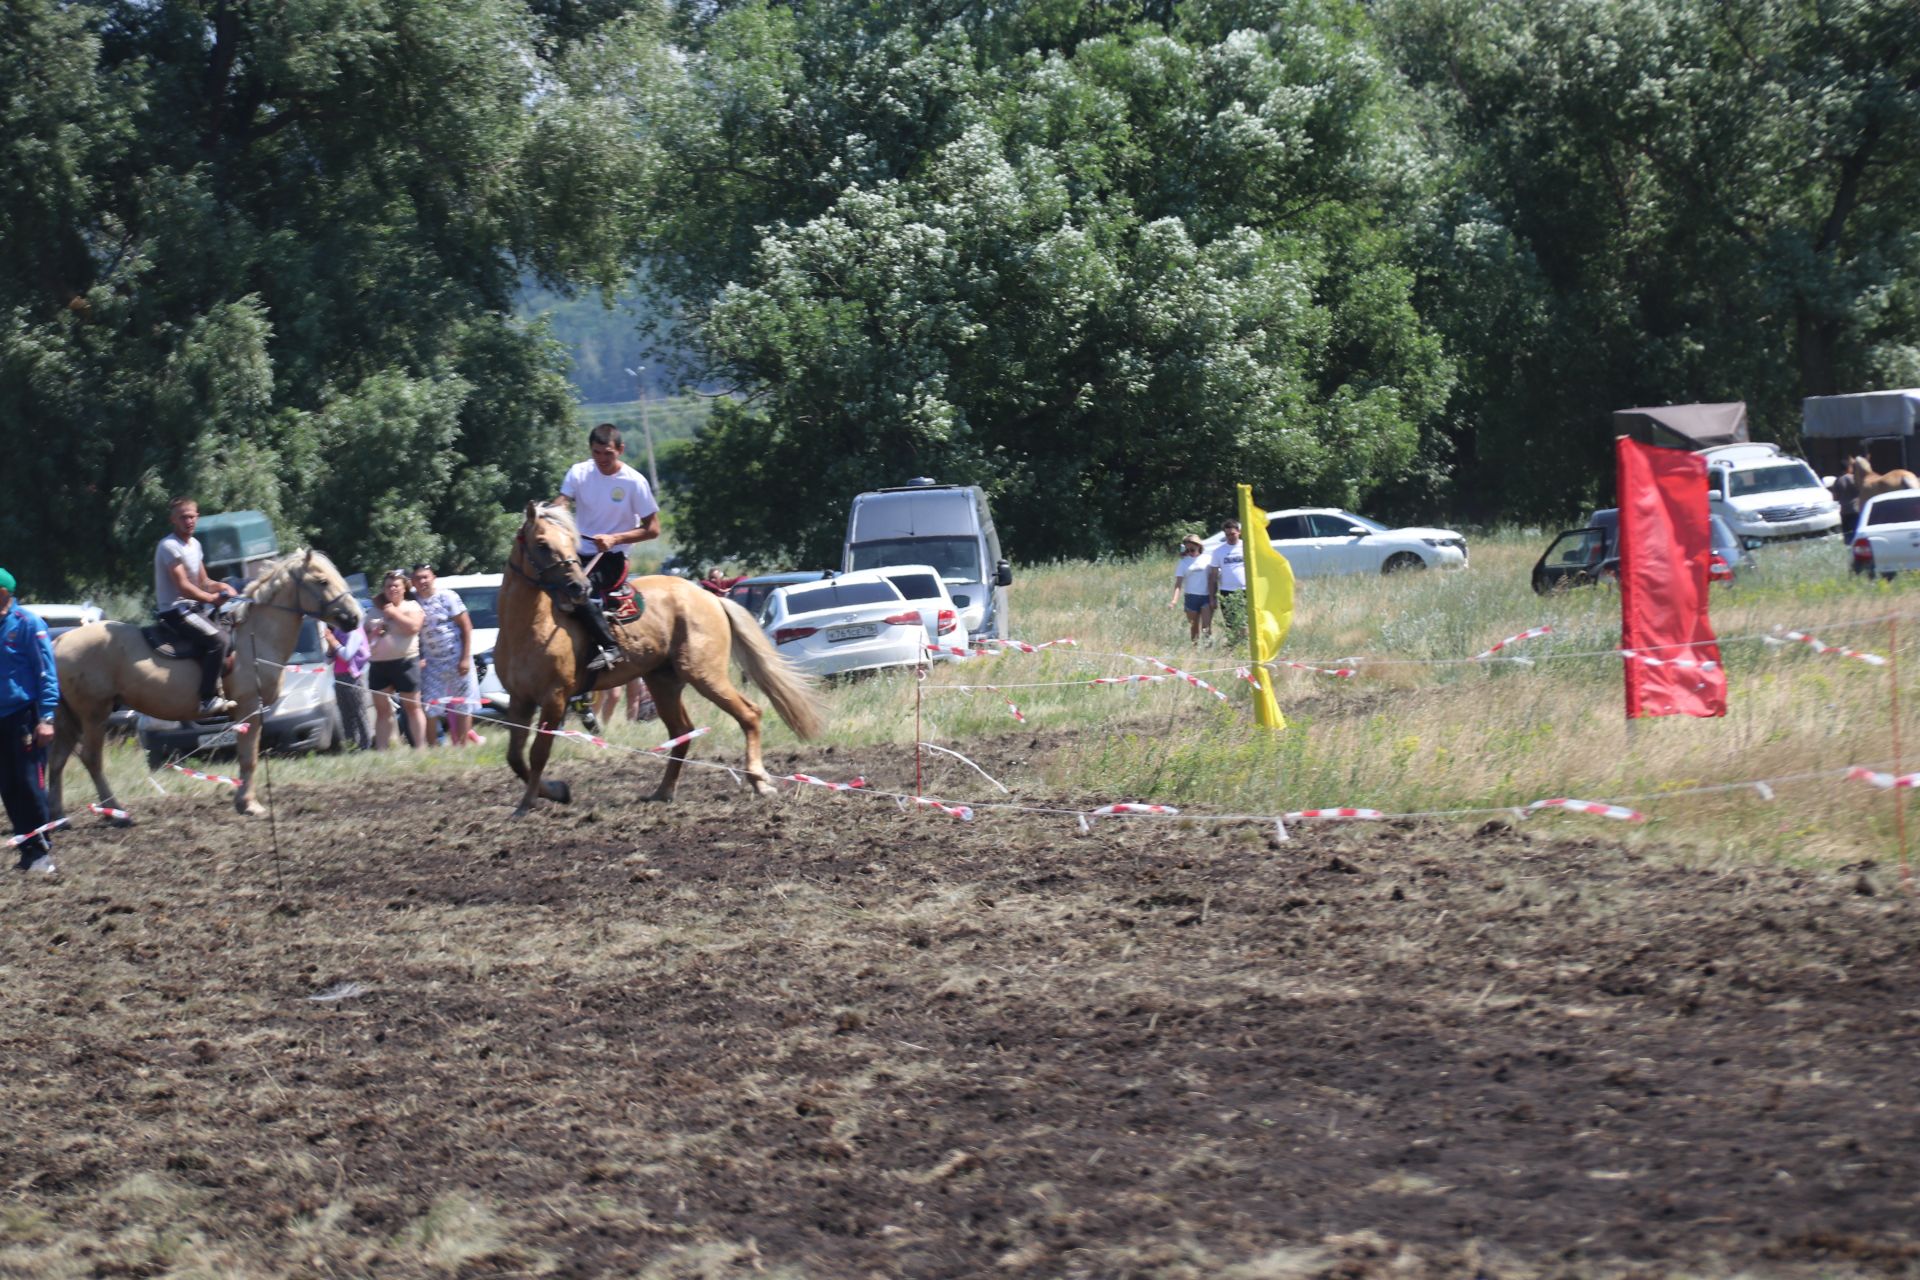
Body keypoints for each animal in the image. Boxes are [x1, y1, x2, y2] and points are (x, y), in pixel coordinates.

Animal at [54, 545, 360, 817]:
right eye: (322, 581)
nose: (355, 617)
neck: (255, 636)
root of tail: (59, 641)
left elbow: (245, 754)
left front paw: (244, 801)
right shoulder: (249, 706)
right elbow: (249, 757)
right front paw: (250, 804)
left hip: (70, 719)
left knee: (57, 761)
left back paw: (58, 819)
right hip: (94, 714)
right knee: (91, 759)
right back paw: (114, 811)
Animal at [491, 502, 821, 817]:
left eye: (571, 542)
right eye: (542, 543)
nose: (581, 587)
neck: (532, 626)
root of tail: (711, 598)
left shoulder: (554, 698)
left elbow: (538, 753)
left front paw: (527, 804)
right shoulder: (520, 700)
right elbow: (514, 756)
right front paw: (556, 791)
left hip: (705, 674)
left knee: (749, 714)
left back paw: (759, 782)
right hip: (663, 681)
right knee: (682, 731)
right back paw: (664, 792)